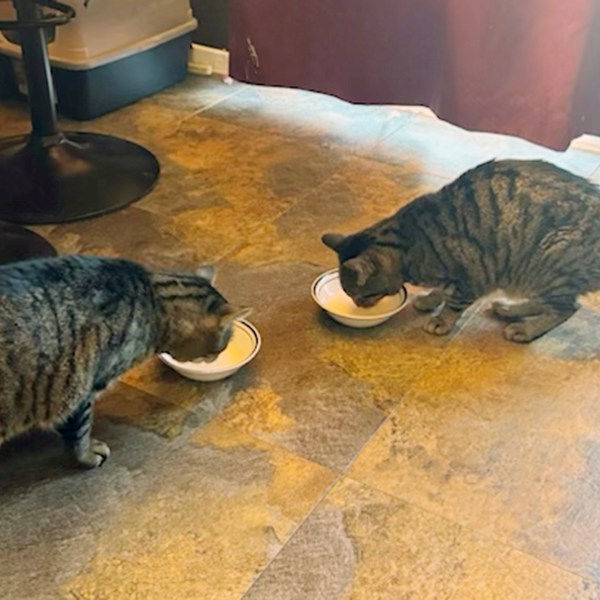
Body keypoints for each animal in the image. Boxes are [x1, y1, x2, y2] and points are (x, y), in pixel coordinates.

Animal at [0, 255, 250, 466]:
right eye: (217, 349)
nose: (215, 358)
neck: (153, 300)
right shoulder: (83, 391)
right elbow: (80, 432)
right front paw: (88, 454)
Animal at [324, 158, 600, 342]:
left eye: (363, 296)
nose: (359, 307)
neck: (411, 243)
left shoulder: (474, 273)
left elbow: (454, 303)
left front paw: (441, 321)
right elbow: (442, 291)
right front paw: (430, 299)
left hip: (548, 261)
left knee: (566, 308)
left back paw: (525, 328)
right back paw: (510, 309)